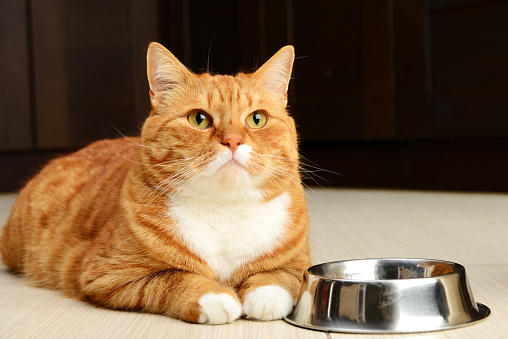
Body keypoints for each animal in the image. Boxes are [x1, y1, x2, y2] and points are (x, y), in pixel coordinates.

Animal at [0, 42, 312, 324]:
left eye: (257, 119)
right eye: (199, 119)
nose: (233, 141)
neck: (224, 210)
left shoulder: (299, 263)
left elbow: (282, 278)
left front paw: (265, 296)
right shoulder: (106, 274)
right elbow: (174, 279)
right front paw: (215, 297)